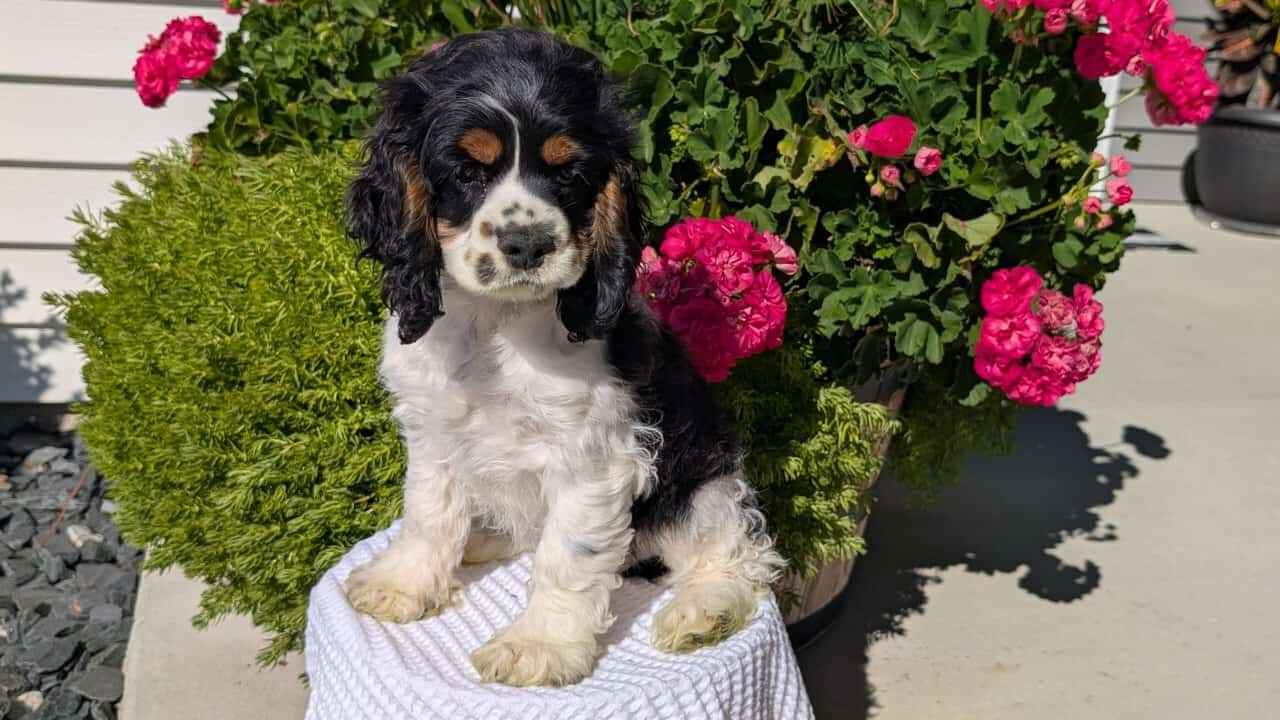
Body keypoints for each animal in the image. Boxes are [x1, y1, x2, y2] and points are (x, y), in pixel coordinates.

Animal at [343, 27, 784, 688]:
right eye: (466, 170)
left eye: (568, 172)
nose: (528, 244)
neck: (493, 323)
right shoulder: (432, 428)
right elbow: (427, 510)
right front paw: (403, 584)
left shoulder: (593, 456)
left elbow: (568, 556)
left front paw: (538, 645)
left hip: (699, 480)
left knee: (738, 551)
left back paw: (704, 611)